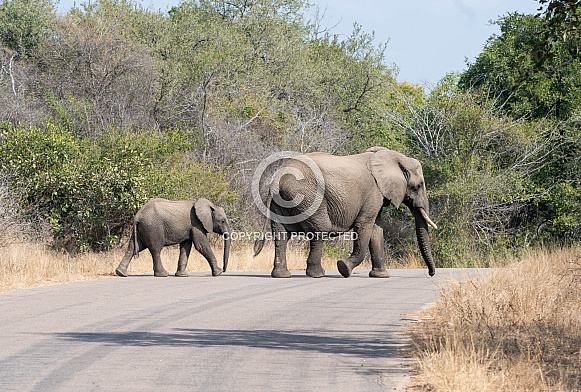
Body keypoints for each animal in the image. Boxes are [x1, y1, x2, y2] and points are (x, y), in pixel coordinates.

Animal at [254, 147, 436, 278]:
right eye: (418, 186)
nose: (431, 274)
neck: (391, 156)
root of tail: (276, 179)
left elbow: (376, 230)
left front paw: (381, 276)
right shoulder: (374, 192)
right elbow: (364, 226)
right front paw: (343, 268)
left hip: (281, 201)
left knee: (281, 234)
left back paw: (281, 275)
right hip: (307, 196)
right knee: (319, 230)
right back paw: (317, 275)